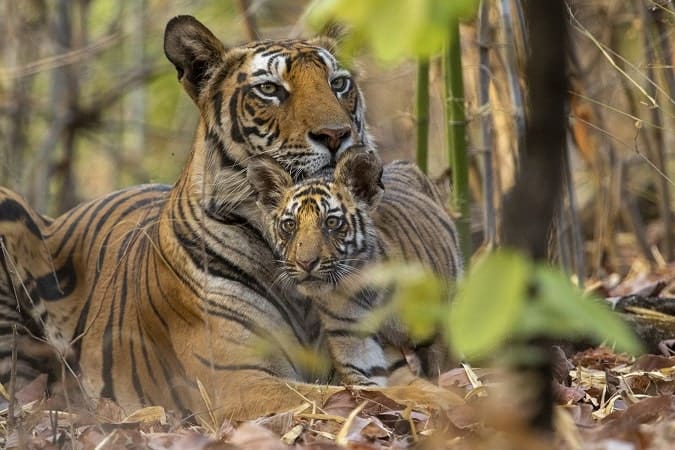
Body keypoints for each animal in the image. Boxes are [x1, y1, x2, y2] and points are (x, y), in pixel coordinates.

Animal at [247, 147, 463, 388]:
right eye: (290, 225)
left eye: (331, 222)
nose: (306, 263)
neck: (362, 286)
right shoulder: (353, 340)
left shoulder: (438, 329)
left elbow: (443, 368)